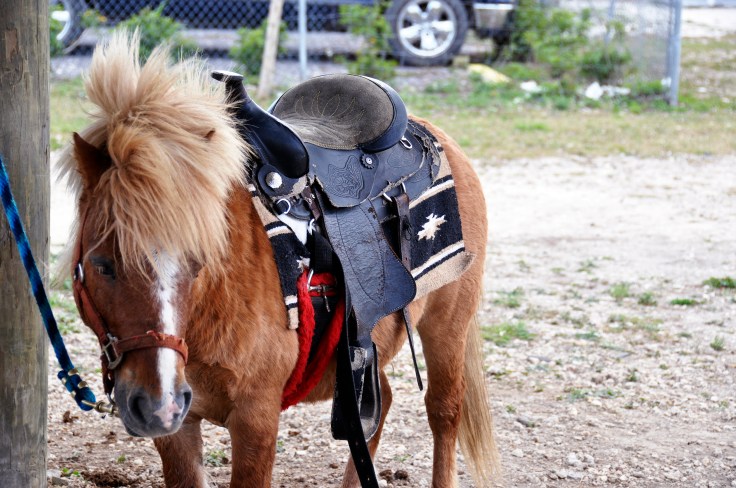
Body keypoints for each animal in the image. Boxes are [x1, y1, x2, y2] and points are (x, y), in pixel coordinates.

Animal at [58, 31, 498, 488]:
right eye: (102, 265)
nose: (156, 404)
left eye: (198, 263)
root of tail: (432, 133)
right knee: (379, 408)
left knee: (444, 411)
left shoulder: (255, 417)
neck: (210, 303)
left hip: (447, 324)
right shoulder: (179, 428)